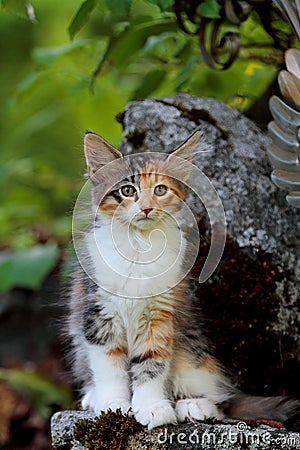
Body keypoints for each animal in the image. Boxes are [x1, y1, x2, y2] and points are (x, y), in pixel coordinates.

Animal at [68, 130, 300, 428]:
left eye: (160, 190)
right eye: (127, 191)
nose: (146, 209)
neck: (139, 247)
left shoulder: (159, 315)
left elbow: (152, 364)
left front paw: (152, 407)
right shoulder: (98, 313)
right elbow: (110, 369)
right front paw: (113, 405)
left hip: (191, 354)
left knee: (221, 401)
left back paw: (193, 405)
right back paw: (92, 396)